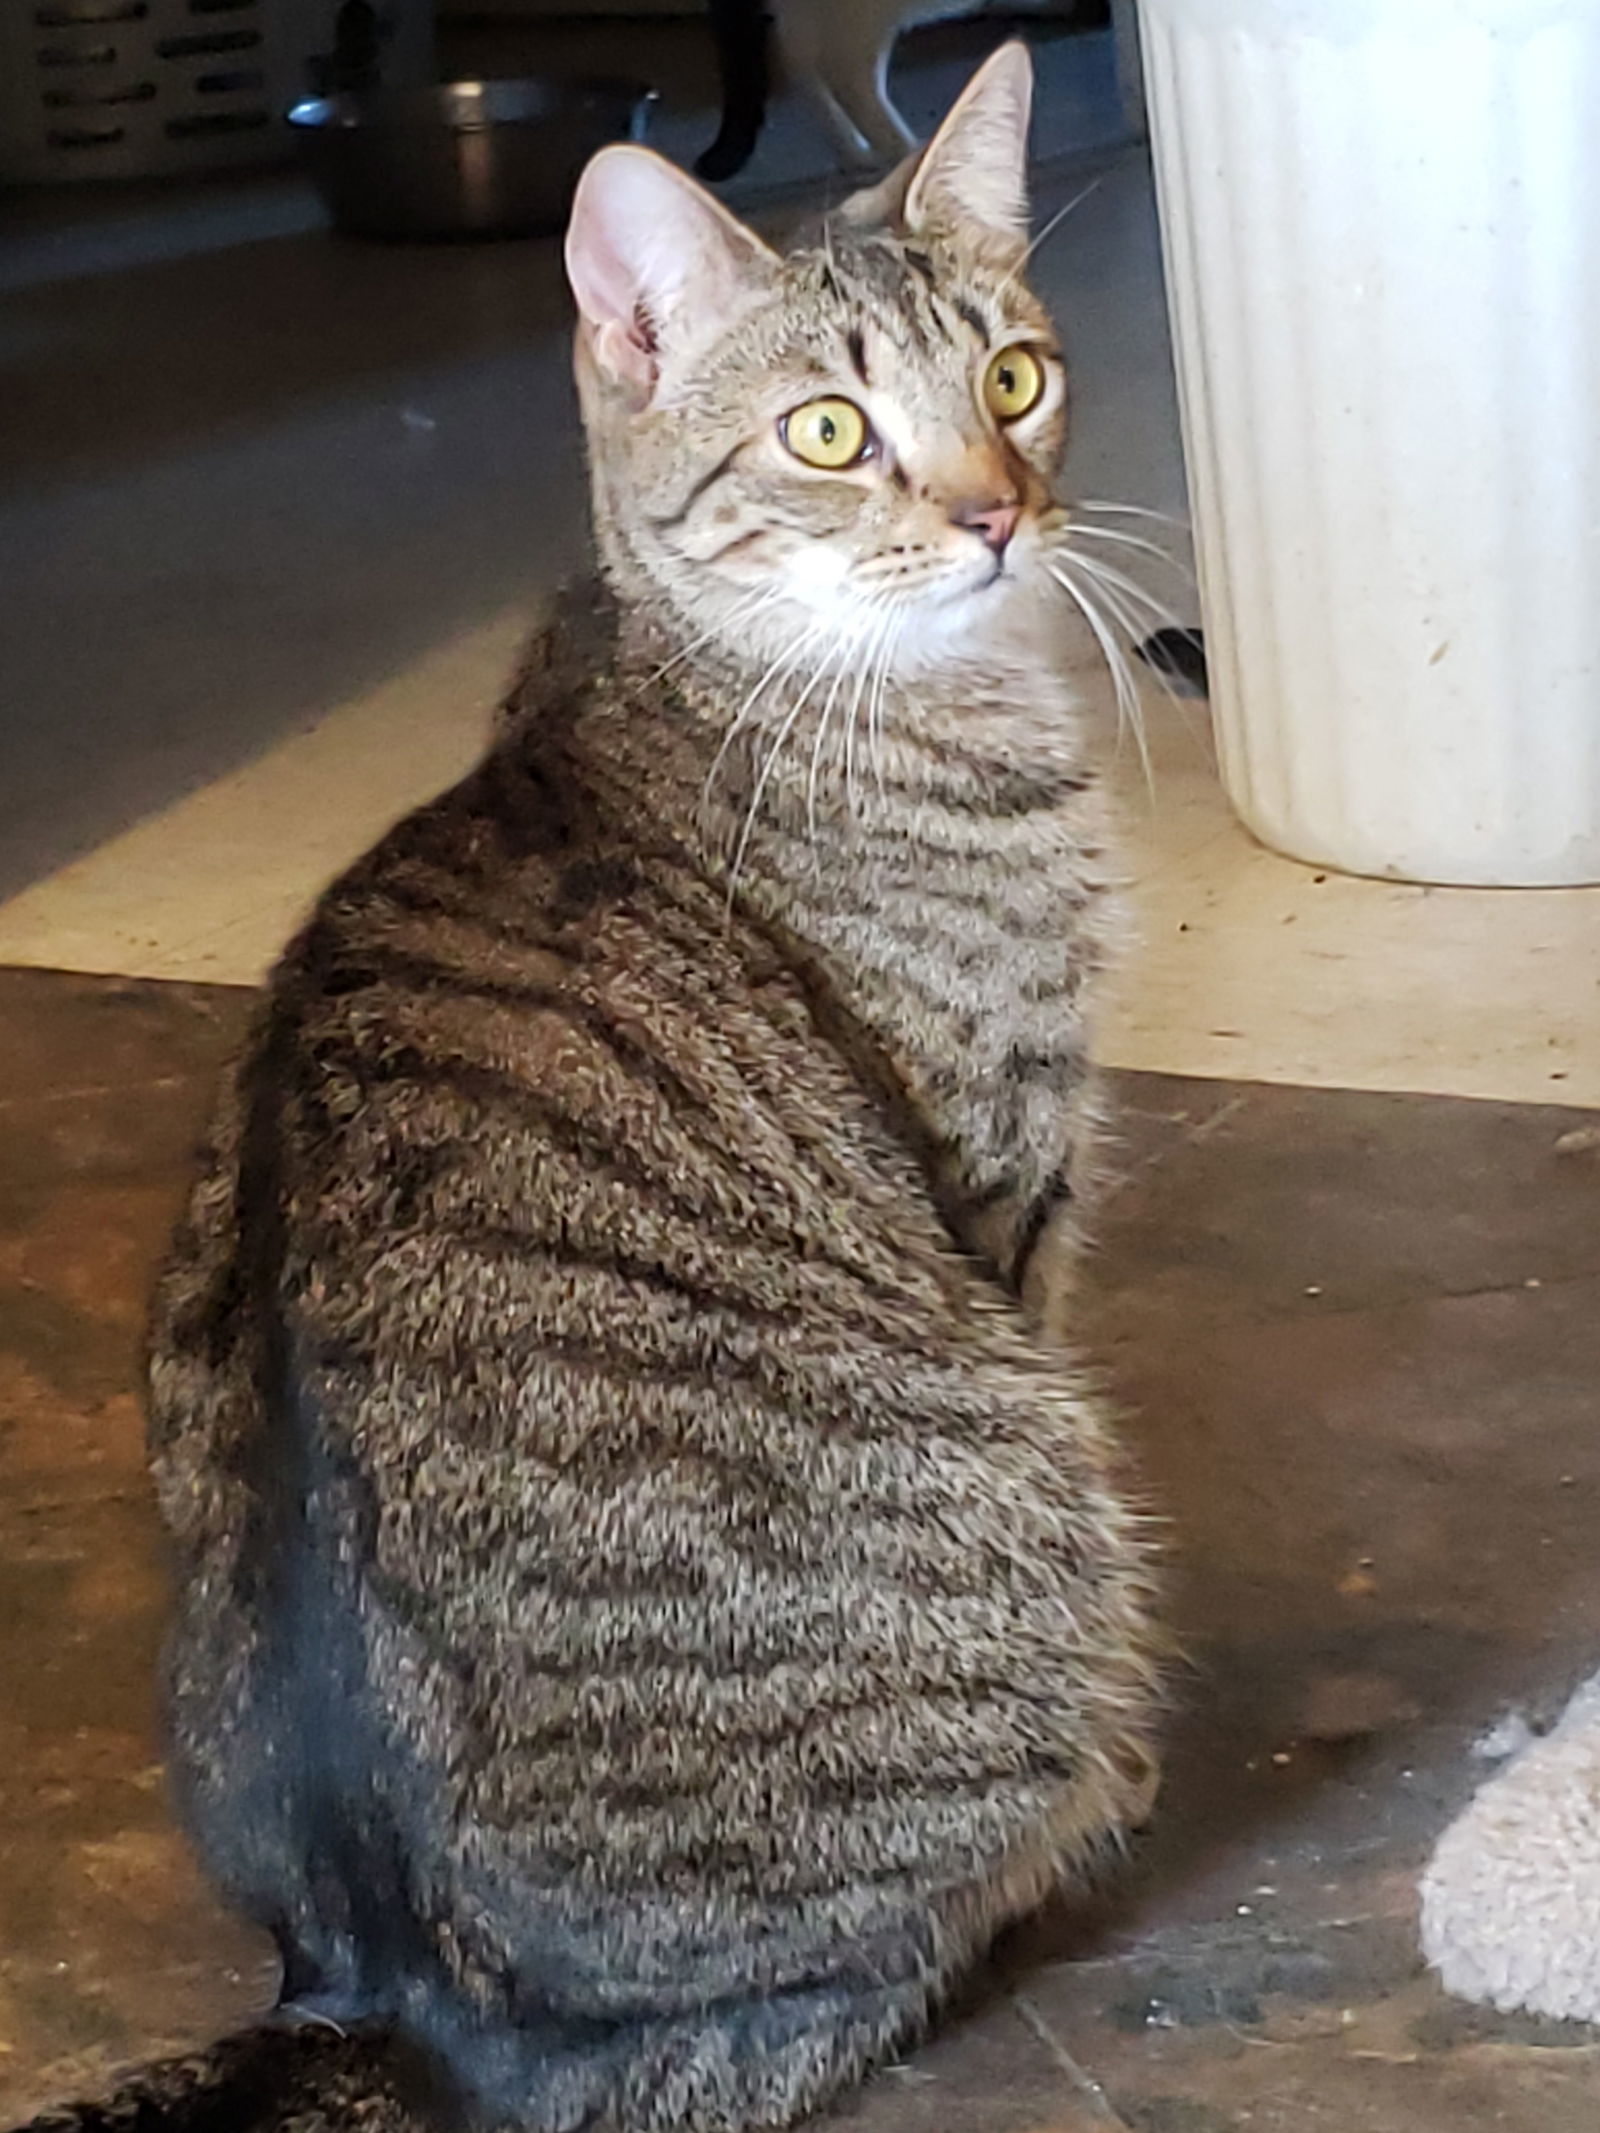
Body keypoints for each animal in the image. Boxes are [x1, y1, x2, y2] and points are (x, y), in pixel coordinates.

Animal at [18, 45, 1160, 2133]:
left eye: (1018, 381)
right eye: (826, 430)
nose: (998, 517)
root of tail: (390, 1996)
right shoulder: (1004, 1179)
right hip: (1034, 1497)